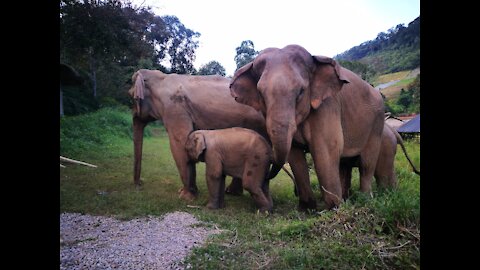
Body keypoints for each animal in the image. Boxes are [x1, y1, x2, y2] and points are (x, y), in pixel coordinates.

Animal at [127, 69, 266, 200]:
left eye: (131, 96)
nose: (140, 184)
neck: (161, 78)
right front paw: (191, 192)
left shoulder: (175, 108)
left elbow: (179, 145)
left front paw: (185, 197)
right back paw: (232, 193)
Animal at [231, 44, 384, 210]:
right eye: (261, 94)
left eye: (301, 92)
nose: (265, 176)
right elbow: (295, 157)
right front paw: (307, 209)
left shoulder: (327, 105)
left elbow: (325, 151)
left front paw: (333, 208)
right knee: (345, 164)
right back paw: (347, 199)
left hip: (377, 123)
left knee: (366, 163)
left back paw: (364, 199)